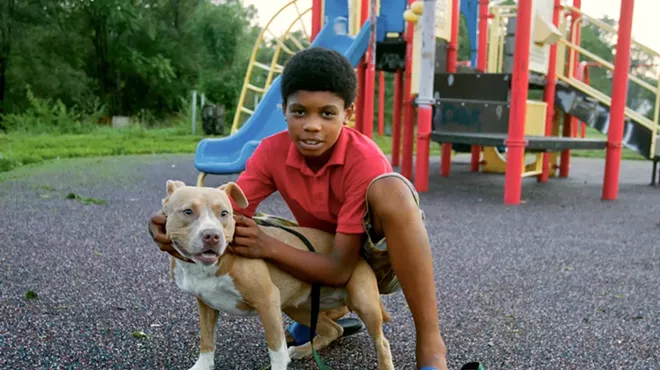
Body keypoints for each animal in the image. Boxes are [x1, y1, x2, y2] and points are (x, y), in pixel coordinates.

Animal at [160, 180, 394, 370]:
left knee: (382, 342)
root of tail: (358, 256)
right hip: (298, 307)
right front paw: (201, 366)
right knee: (333, 329)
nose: (212, 235)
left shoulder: (267, 300)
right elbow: (207, 341)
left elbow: (277, 351)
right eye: (188, 211)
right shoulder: (206, 304)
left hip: (364, 301)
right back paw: (304, 349)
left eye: (224, 213)